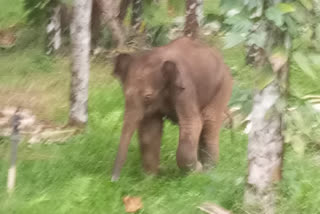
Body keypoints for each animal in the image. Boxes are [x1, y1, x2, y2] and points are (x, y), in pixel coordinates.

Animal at [110, 36, 232, 181]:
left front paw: (196, 171)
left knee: (209, 123)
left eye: (147, 97)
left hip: (223, 86)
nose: (114, 180)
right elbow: (149, 130)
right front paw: (149, 179)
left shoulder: (186, 88)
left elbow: (192, 123)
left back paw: (209, 172)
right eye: (125, 93)